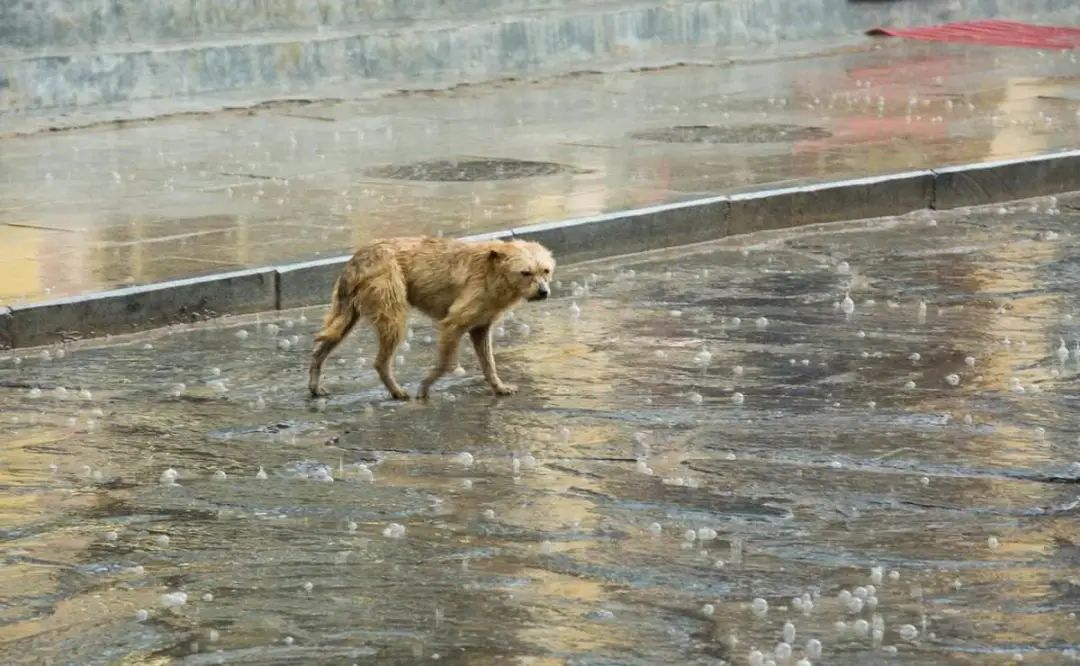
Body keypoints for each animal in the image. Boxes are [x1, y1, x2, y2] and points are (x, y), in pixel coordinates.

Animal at [309, 236, 555, 400]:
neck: (493, 271)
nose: (544, 293)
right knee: (380, 362)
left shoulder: (481, 328)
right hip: (393, 316)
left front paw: (498, 387)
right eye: (525, 273)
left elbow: (489, 363)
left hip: (346, 317)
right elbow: (445, 364)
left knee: (319, 352)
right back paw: (396, 391)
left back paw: (314, 386)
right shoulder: (452, 323)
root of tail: (357, 259)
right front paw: (425, 387)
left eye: (546, 271)